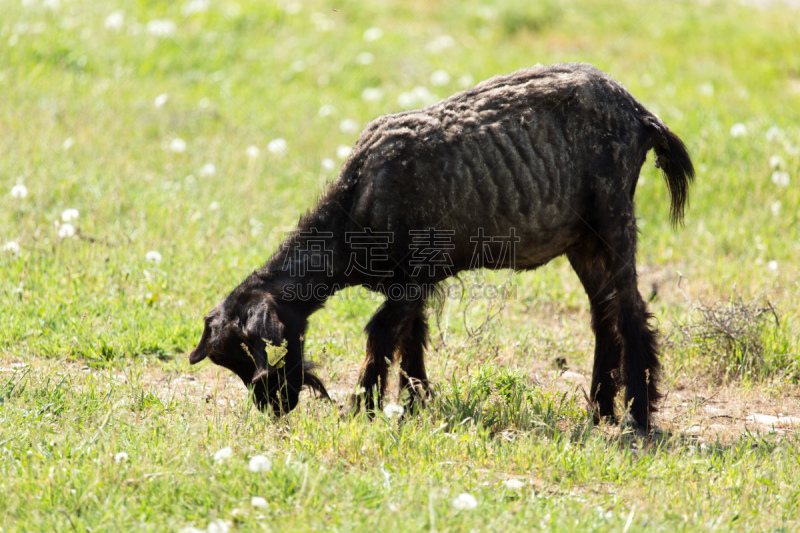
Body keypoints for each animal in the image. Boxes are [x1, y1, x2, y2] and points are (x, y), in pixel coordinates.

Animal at [189, 62, 692, 430]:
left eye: (256, 348)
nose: (274, 407)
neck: (355, 208)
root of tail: (641, 115)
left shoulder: (413, 278)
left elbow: (380, 334)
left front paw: (363, 407)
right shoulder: (417, 282)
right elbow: (411, 340)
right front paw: (413, 403)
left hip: (613, 214)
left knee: (631, 313)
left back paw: (638, 416)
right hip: (582, 239)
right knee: (603, 315)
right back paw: (600, 410)